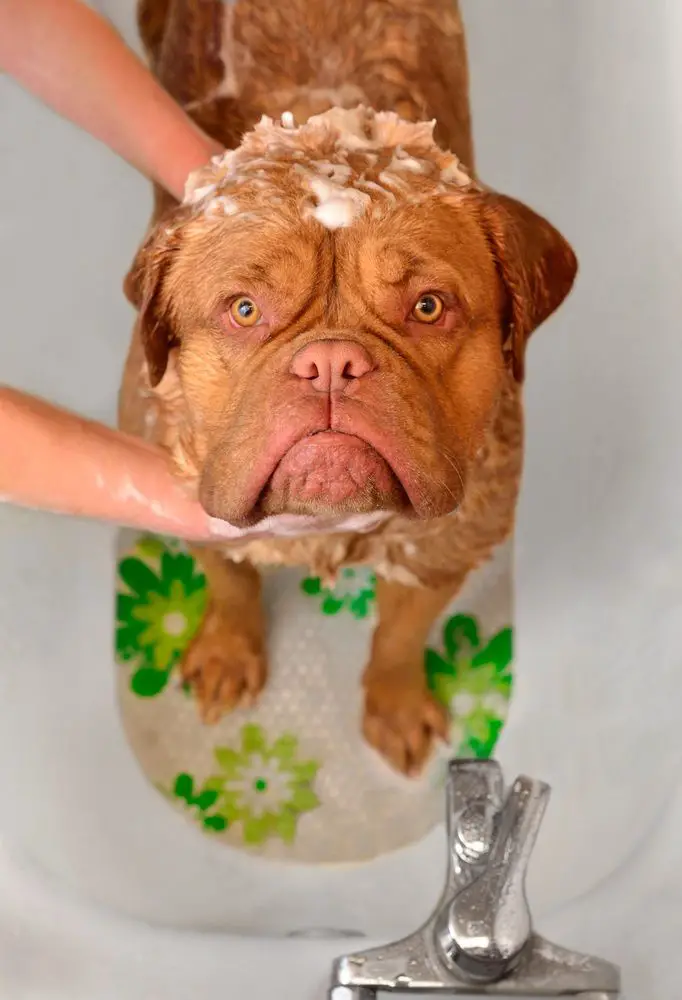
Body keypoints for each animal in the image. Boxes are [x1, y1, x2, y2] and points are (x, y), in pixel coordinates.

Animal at [119, 0, 576, 772]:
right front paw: (228, 652)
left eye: (429, 306)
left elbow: (398, 638)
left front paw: (394, 707)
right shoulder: (184, 501)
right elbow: (230, 580)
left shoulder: (439, 555)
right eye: (245, 309)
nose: (331, 362)